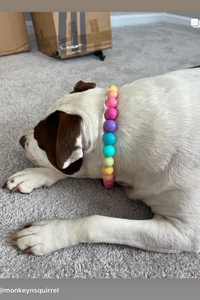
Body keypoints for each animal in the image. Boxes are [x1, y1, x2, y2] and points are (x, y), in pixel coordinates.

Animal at [2, 68, 200, 255]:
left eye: (39, 138)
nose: (21, 140)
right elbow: (68, 168)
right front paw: (33, 175)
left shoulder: (183, 232)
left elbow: (95, 222)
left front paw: (47, 234)